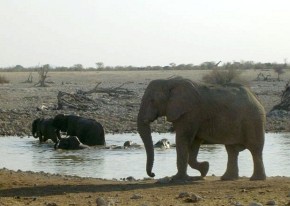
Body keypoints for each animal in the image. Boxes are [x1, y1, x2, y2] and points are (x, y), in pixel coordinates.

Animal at [137, 77, 266, 182]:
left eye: (152, 101)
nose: (153, 174)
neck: (169, 82)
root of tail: (256, 98)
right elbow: (194, 142)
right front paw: (205, 169)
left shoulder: (190, 112)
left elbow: (182, 140)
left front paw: (177, 178)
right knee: (232, 150)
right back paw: (227, 178)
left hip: (253, 120)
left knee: (254, 148)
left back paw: (256, 179)